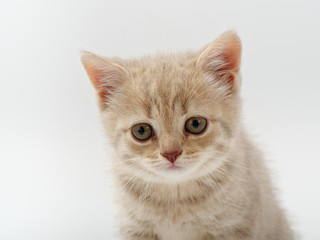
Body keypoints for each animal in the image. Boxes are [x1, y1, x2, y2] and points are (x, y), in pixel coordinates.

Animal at [81, 31, 294, 240]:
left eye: (196, 124)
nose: (171, 154)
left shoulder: (234, 227)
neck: (176, 199)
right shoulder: (134, 228)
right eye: (141, 130)